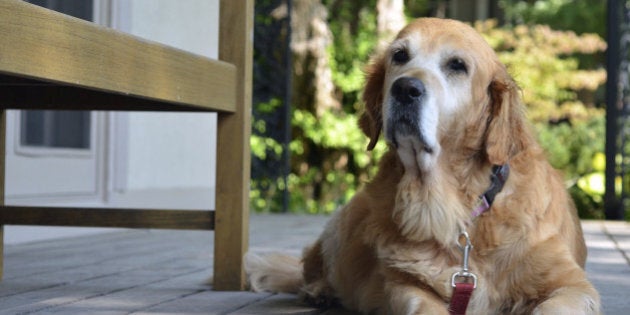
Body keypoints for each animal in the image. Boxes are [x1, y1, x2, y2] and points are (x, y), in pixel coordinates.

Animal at [246, 17, 604, 315]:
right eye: (400, 56)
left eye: (457, 65)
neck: (449, 207)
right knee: (312, 263)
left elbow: (554, 305)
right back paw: (318, 290)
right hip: (343, 225)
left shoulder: (572, 285)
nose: (405, 88)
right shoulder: (404, 285)